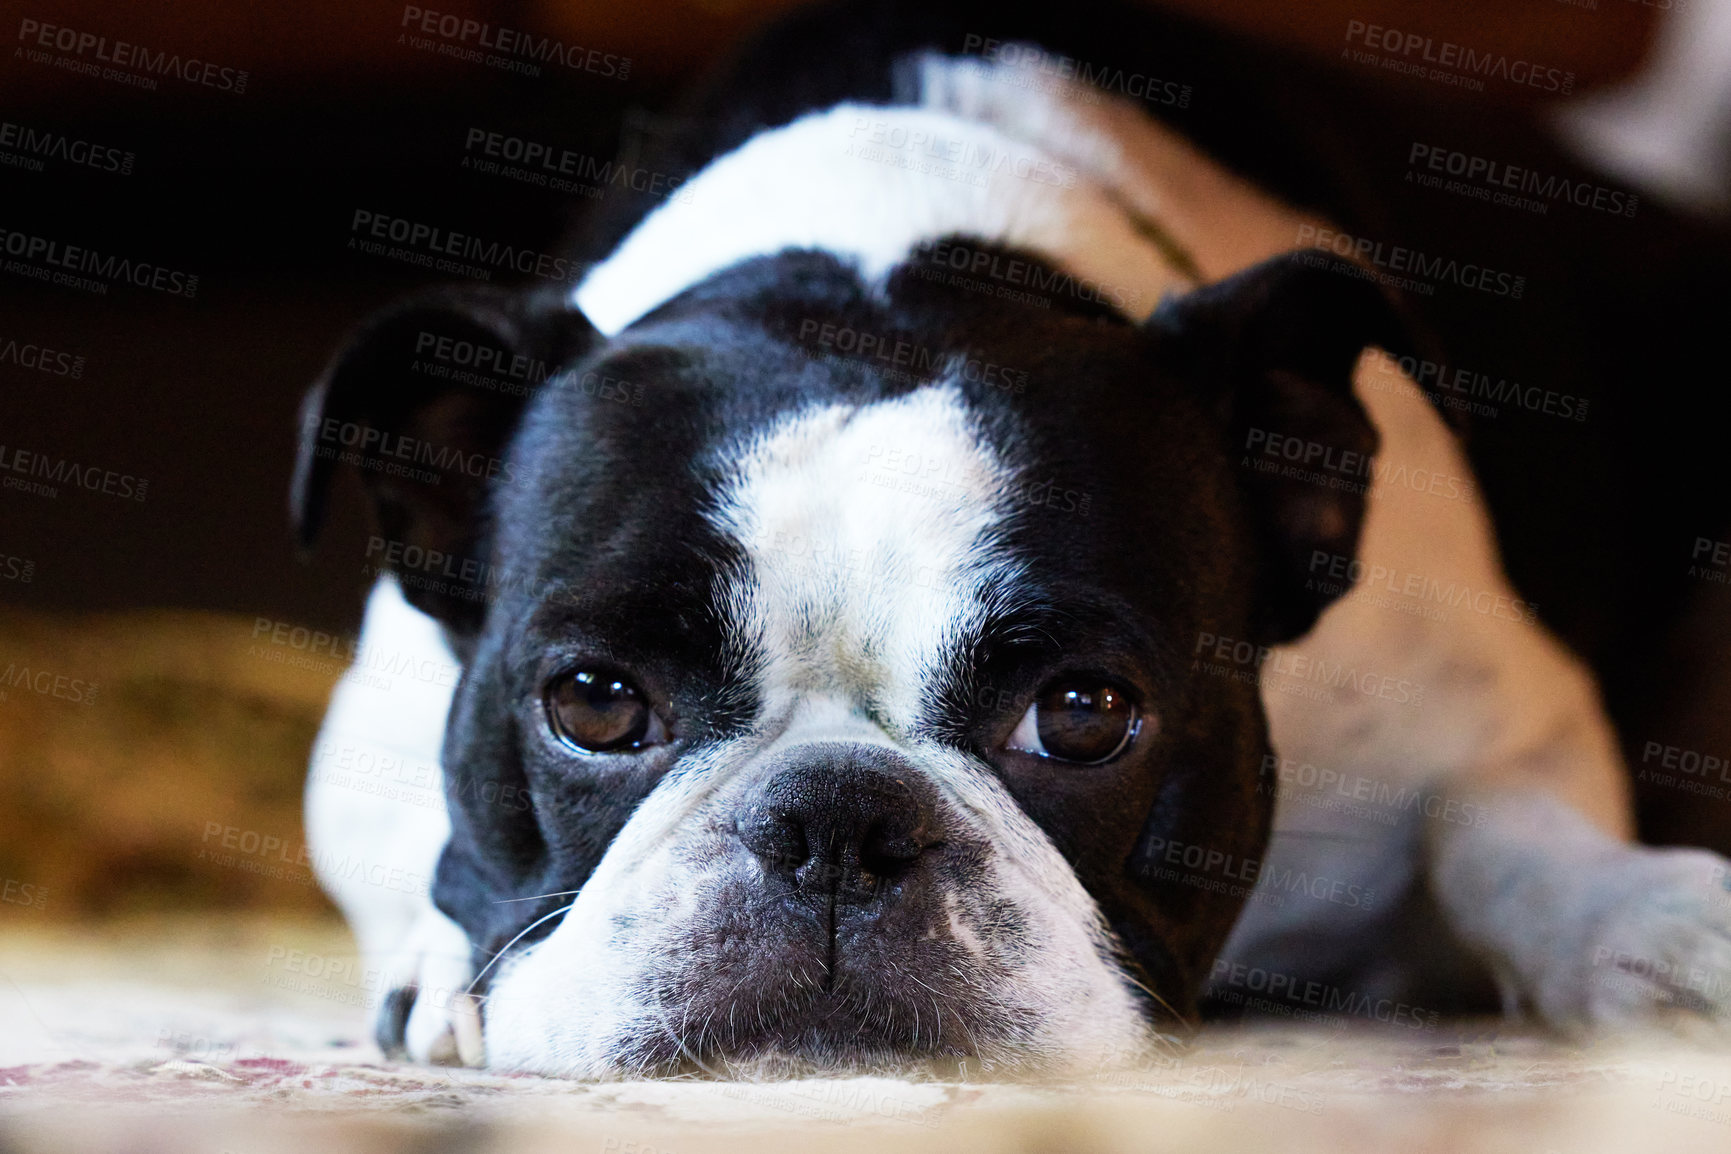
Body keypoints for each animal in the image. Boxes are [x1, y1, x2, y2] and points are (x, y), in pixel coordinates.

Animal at [294, 0, 1731, 1079]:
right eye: (593, 701)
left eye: (1083, 714)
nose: (832, 820)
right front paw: (444, 964)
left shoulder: (1490, 705)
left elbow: (1505, 828)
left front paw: (1645, 922)